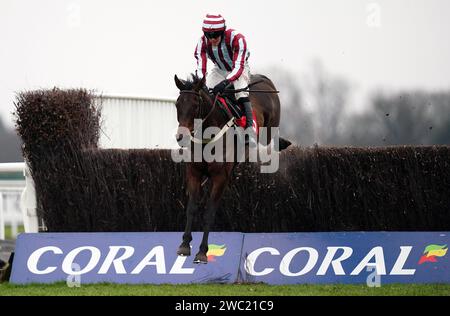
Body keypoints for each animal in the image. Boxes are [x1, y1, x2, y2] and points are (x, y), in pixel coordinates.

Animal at [172, 74, 292, 264]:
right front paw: (184, 245)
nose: (181, 137)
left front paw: (202, 252)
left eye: (195, 105)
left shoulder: (220, 177)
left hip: (269, 128)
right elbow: (191, 209)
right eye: (177, 104)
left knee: (271, 138)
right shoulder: (194, 173)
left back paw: (281, 143)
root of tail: (264, 78)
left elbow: (209, 213)